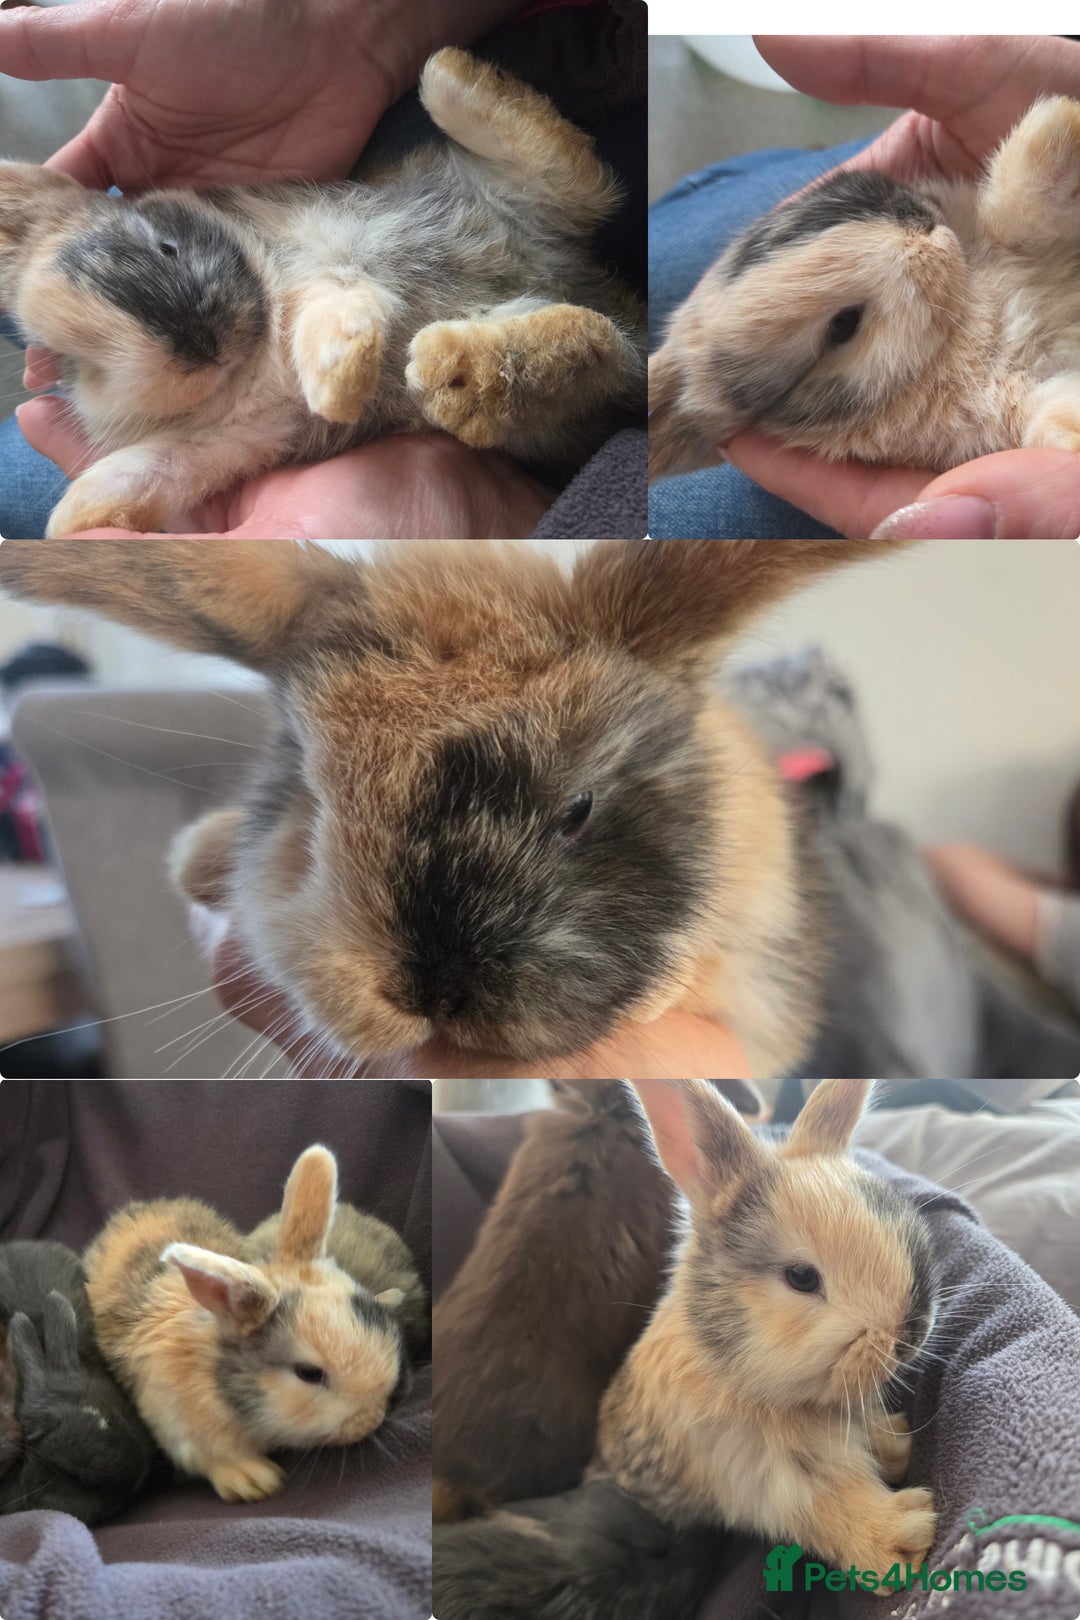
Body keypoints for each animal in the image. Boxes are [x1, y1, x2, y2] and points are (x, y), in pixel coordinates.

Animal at [0, 49, 645, 538]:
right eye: (87, 368)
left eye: (166, 247)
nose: (201, 345)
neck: (257, 342)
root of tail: (577, 276)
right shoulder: (238, 434)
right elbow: (145, 470)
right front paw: (71, 519)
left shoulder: (311, 277)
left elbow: (326, 308)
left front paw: (339, 382)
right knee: (582, 346)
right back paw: (461, 374)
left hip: (527, 188)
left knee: (564, 170)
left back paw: (455, 73)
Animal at [593, 1079, 939, 1577]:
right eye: (801, 1277)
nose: (910, 1336)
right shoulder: (774, 1477)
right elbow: (834, 1508)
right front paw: (905, 1540)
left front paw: (896, 1446)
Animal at [648, 95, 1080, 480]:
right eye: (843, 326)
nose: (927, 230)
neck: (967, 308)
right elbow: (1045, 411)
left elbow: (1016, 208)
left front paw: (1062, 120)